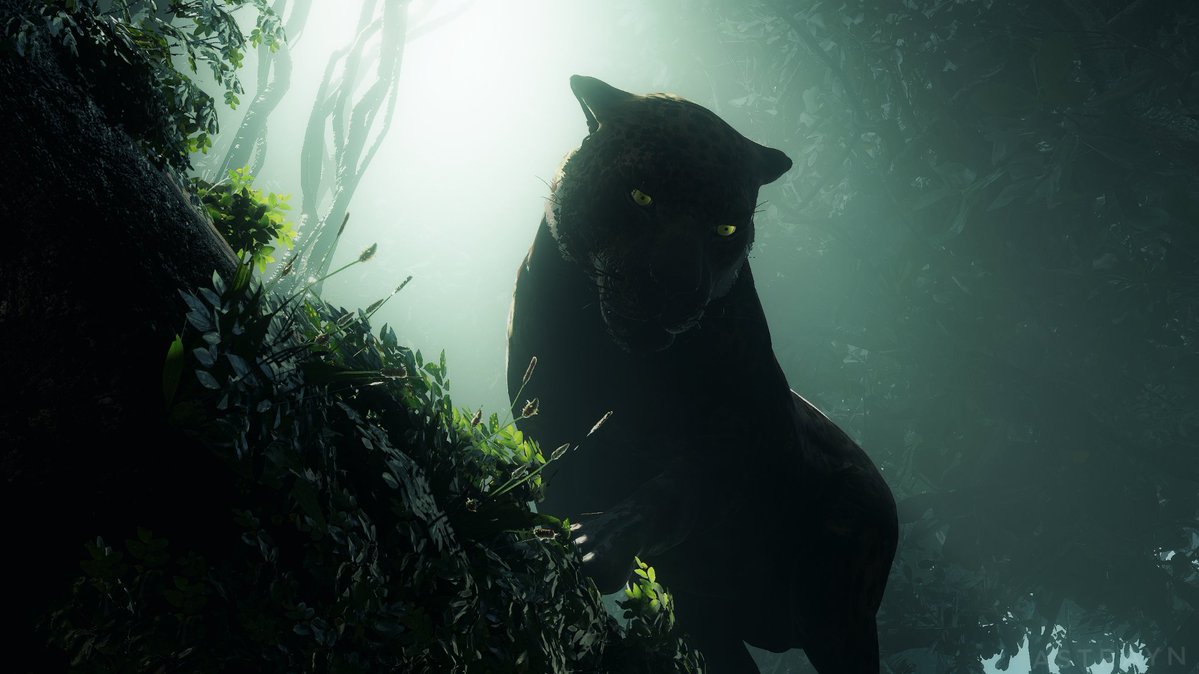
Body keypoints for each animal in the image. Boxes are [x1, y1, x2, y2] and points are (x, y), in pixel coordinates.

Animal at [506, 75, 898, 673]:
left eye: (725, 228)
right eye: (642, 197)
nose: (680, 288)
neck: (612, 355)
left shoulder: (746, 444)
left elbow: (676, 489)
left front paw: (599, 543)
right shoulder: (552, 420)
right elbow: (571, 477)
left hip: (836, 615)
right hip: (714, 620)